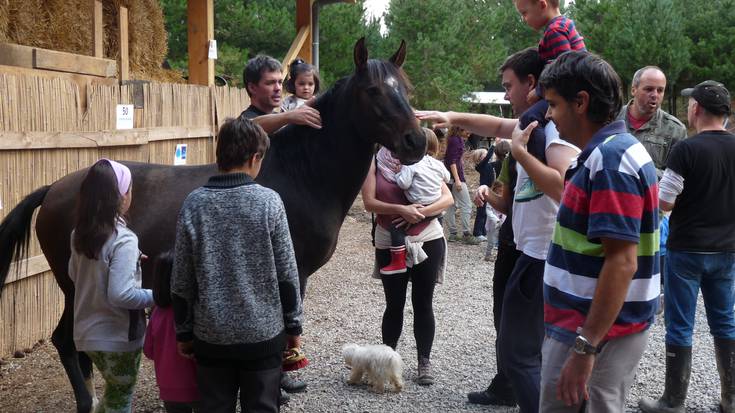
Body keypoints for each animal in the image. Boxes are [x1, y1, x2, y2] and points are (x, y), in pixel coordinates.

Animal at [0, 37, 426, 408]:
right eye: (373, 90)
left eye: (406, 88)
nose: (417, 142)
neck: (300, 173)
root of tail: (56, 188)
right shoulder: (292, 274)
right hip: (73, 285)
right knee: (65, 341)